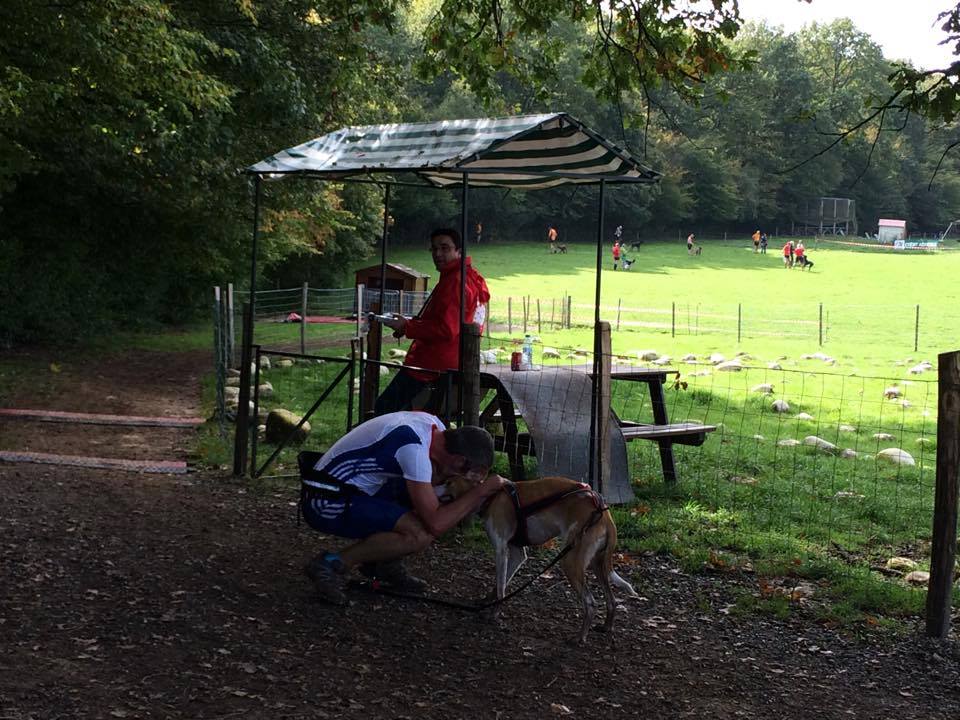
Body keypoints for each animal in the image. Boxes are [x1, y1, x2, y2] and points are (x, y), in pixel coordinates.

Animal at [444, 474, 638, 643]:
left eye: (448, 482)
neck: (491, 496)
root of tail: (604, 514)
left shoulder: (500, 550)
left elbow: (501, 587)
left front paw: (494, 614)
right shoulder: (517, 554)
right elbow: (502, 584)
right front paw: (487, 601)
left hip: (570, 562)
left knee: (590, 603)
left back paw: (580, 637)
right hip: (597, 565)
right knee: (611, 601)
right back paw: (606, 627)